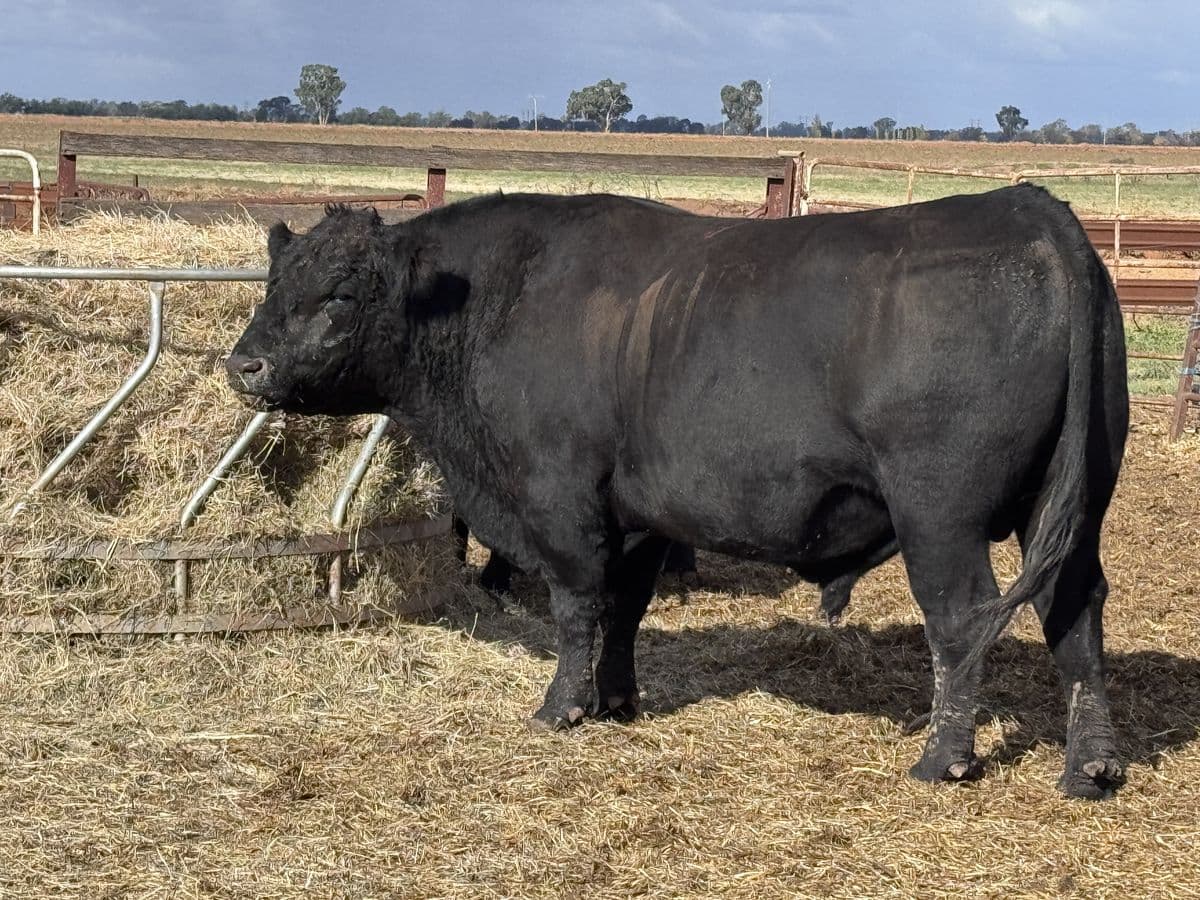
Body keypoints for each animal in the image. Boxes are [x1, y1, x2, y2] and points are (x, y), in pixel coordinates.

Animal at [227, 186, 1128, 798]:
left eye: (341, 295)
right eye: (275, 285)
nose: (245, 365)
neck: (496, 298)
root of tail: (1028, 209)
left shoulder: (559, 496)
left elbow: (578, 606)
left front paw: (562, 707)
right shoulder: (641, 513)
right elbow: (625, 607)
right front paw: (618, 698)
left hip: (940, 514)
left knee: (962, 620)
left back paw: (944, 757)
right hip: (1072, 511)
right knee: (1075, 614)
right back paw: (1092, 764)